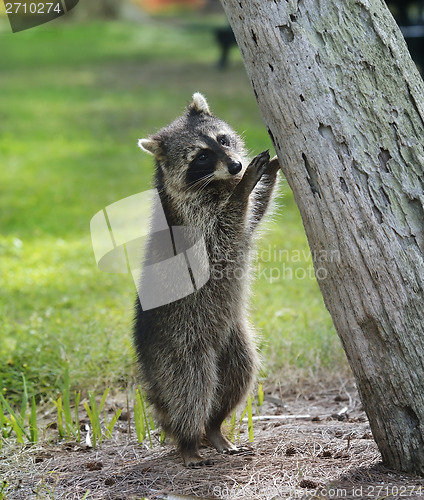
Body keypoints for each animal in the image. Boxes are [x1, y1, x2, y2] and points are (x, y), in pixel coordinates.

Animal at [132, 94, 278, 468]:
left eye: (222, 140)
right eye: (200, 156)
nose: (237, 166)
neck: (216, 183)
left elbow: (251, 219)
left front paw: (270, 171)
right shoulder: (193, 222)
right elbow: (224, 235)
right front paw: (245, 188)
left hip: (234, 342)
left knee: (238, 375)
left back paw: (214, 427)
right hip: (180, 345)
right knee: (191, 388)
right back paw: (189, 440)